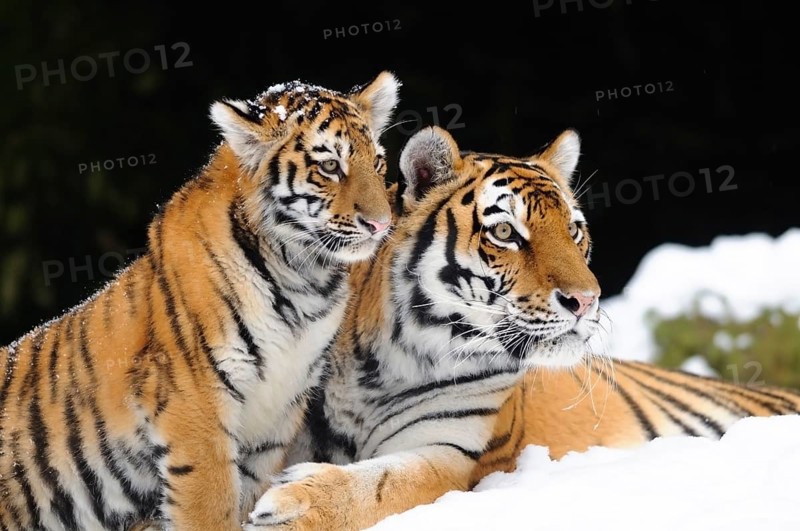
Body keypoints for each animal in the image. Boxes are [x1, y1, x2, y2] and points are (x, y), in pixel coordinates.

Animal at [0, 71, 401, 531]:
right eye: (331, 165)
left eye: (378, 162)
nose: (381, 224)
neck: (305, 280)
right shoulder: (195, 406)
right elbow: (210, 504)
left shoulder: (276, 412)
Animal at [244, 126, 800, 531]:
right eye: (505, 232)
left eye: (574, 230)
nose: (587, 301)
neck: (385, 366)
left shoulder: (453, 453)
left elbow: (383, 482)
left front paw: (291, 506)